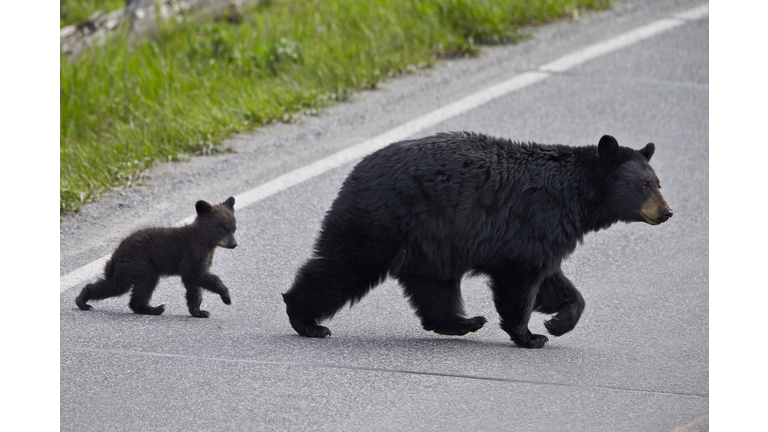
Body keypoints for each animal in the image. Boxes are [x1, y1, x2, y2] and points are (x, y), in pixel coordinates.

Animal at [76, 197, 237, 318]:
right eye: (222, 229)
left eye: (234, 228)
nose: (234, 244)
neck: (205, 241)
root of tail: (117, 252)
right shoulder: (192, 253)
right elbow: (197, 276)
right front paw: (226, 297)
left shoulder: (199, 260)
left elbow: (194, 286)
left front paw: (198, 311)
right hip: (139, 263)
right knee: (125, 285)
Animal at [282, 133, 672, 350]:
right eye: (644, 186)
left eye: (658, 183)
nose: (667, 212)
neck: (575, 194)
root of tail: (356, 170)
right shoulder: (532, 223)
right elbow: (522, 280)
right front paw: (530, 336)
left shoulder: (547, 234)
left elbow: (553, 280)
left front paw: (558, 321)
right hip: (382, 222)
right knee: (342, 265)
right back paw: (307, 320)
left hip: (428, 244)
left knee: (433, 288)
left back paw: (465, 322)